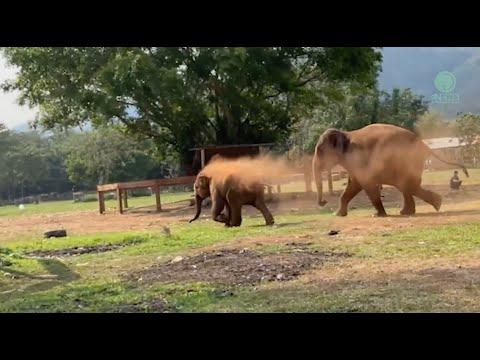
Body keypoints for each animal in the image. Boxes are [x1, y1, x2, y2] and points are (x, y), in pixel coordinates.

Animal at [312, 124, 468, 217]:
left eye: (319, 150)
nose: (323, 202)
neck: (345, 134)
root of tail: (424, 145)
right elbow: (353, 185)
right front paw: (338, 215)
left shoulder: (358, 158)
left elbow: (366, 184)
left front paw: (378, 215)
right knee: (407, 186)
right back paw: (421, 208)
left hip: (408, 160)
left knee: (407, 185)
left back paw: (433, 205)